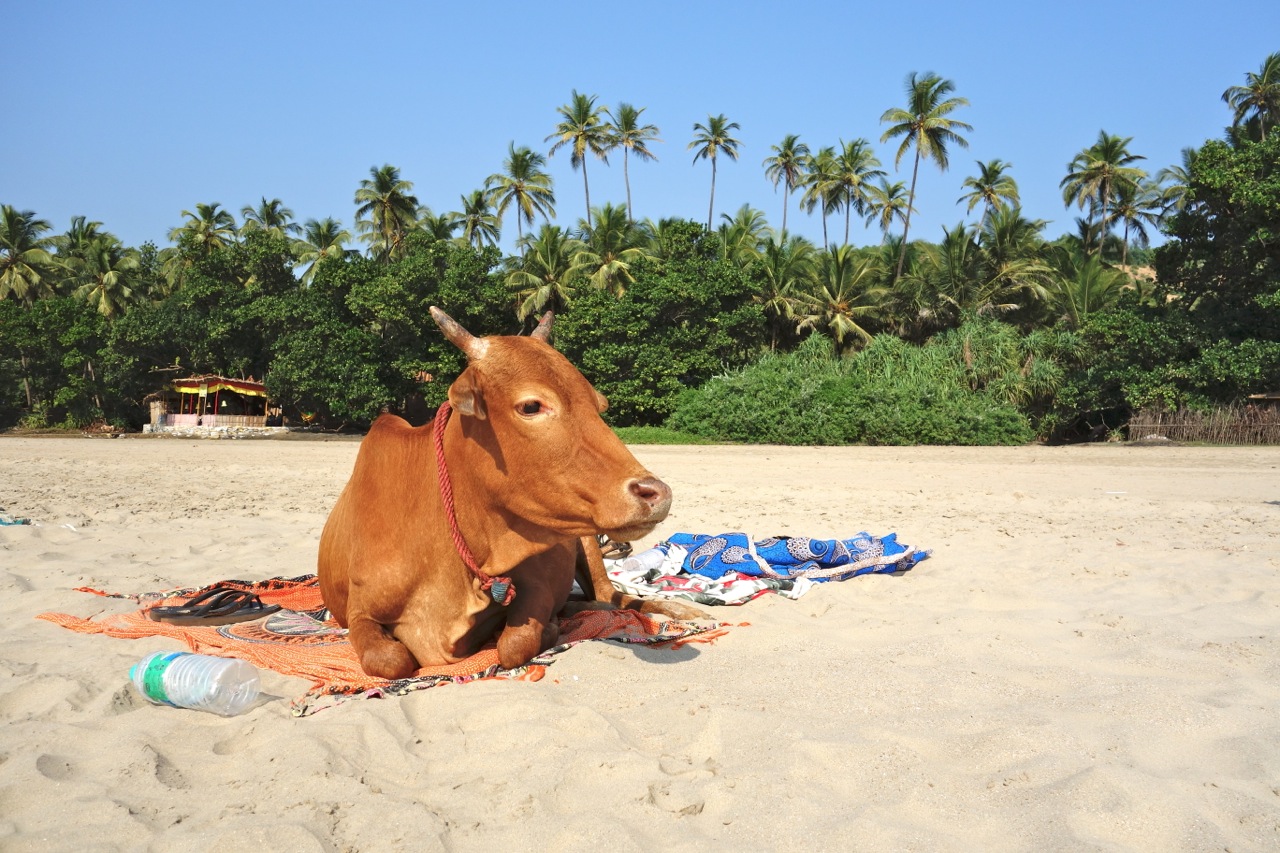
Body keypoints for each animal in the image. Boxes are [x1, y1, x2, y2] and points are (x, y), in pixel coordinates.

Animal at [316, 306, 706, 676]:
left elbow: (514, 644)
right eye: (531, 405)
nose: (656, 493)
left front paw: (550, 628)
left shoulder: (535, 585)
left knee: (614, 598)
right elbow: (389, 660)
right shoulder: (357, 613)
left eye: (598, 406)